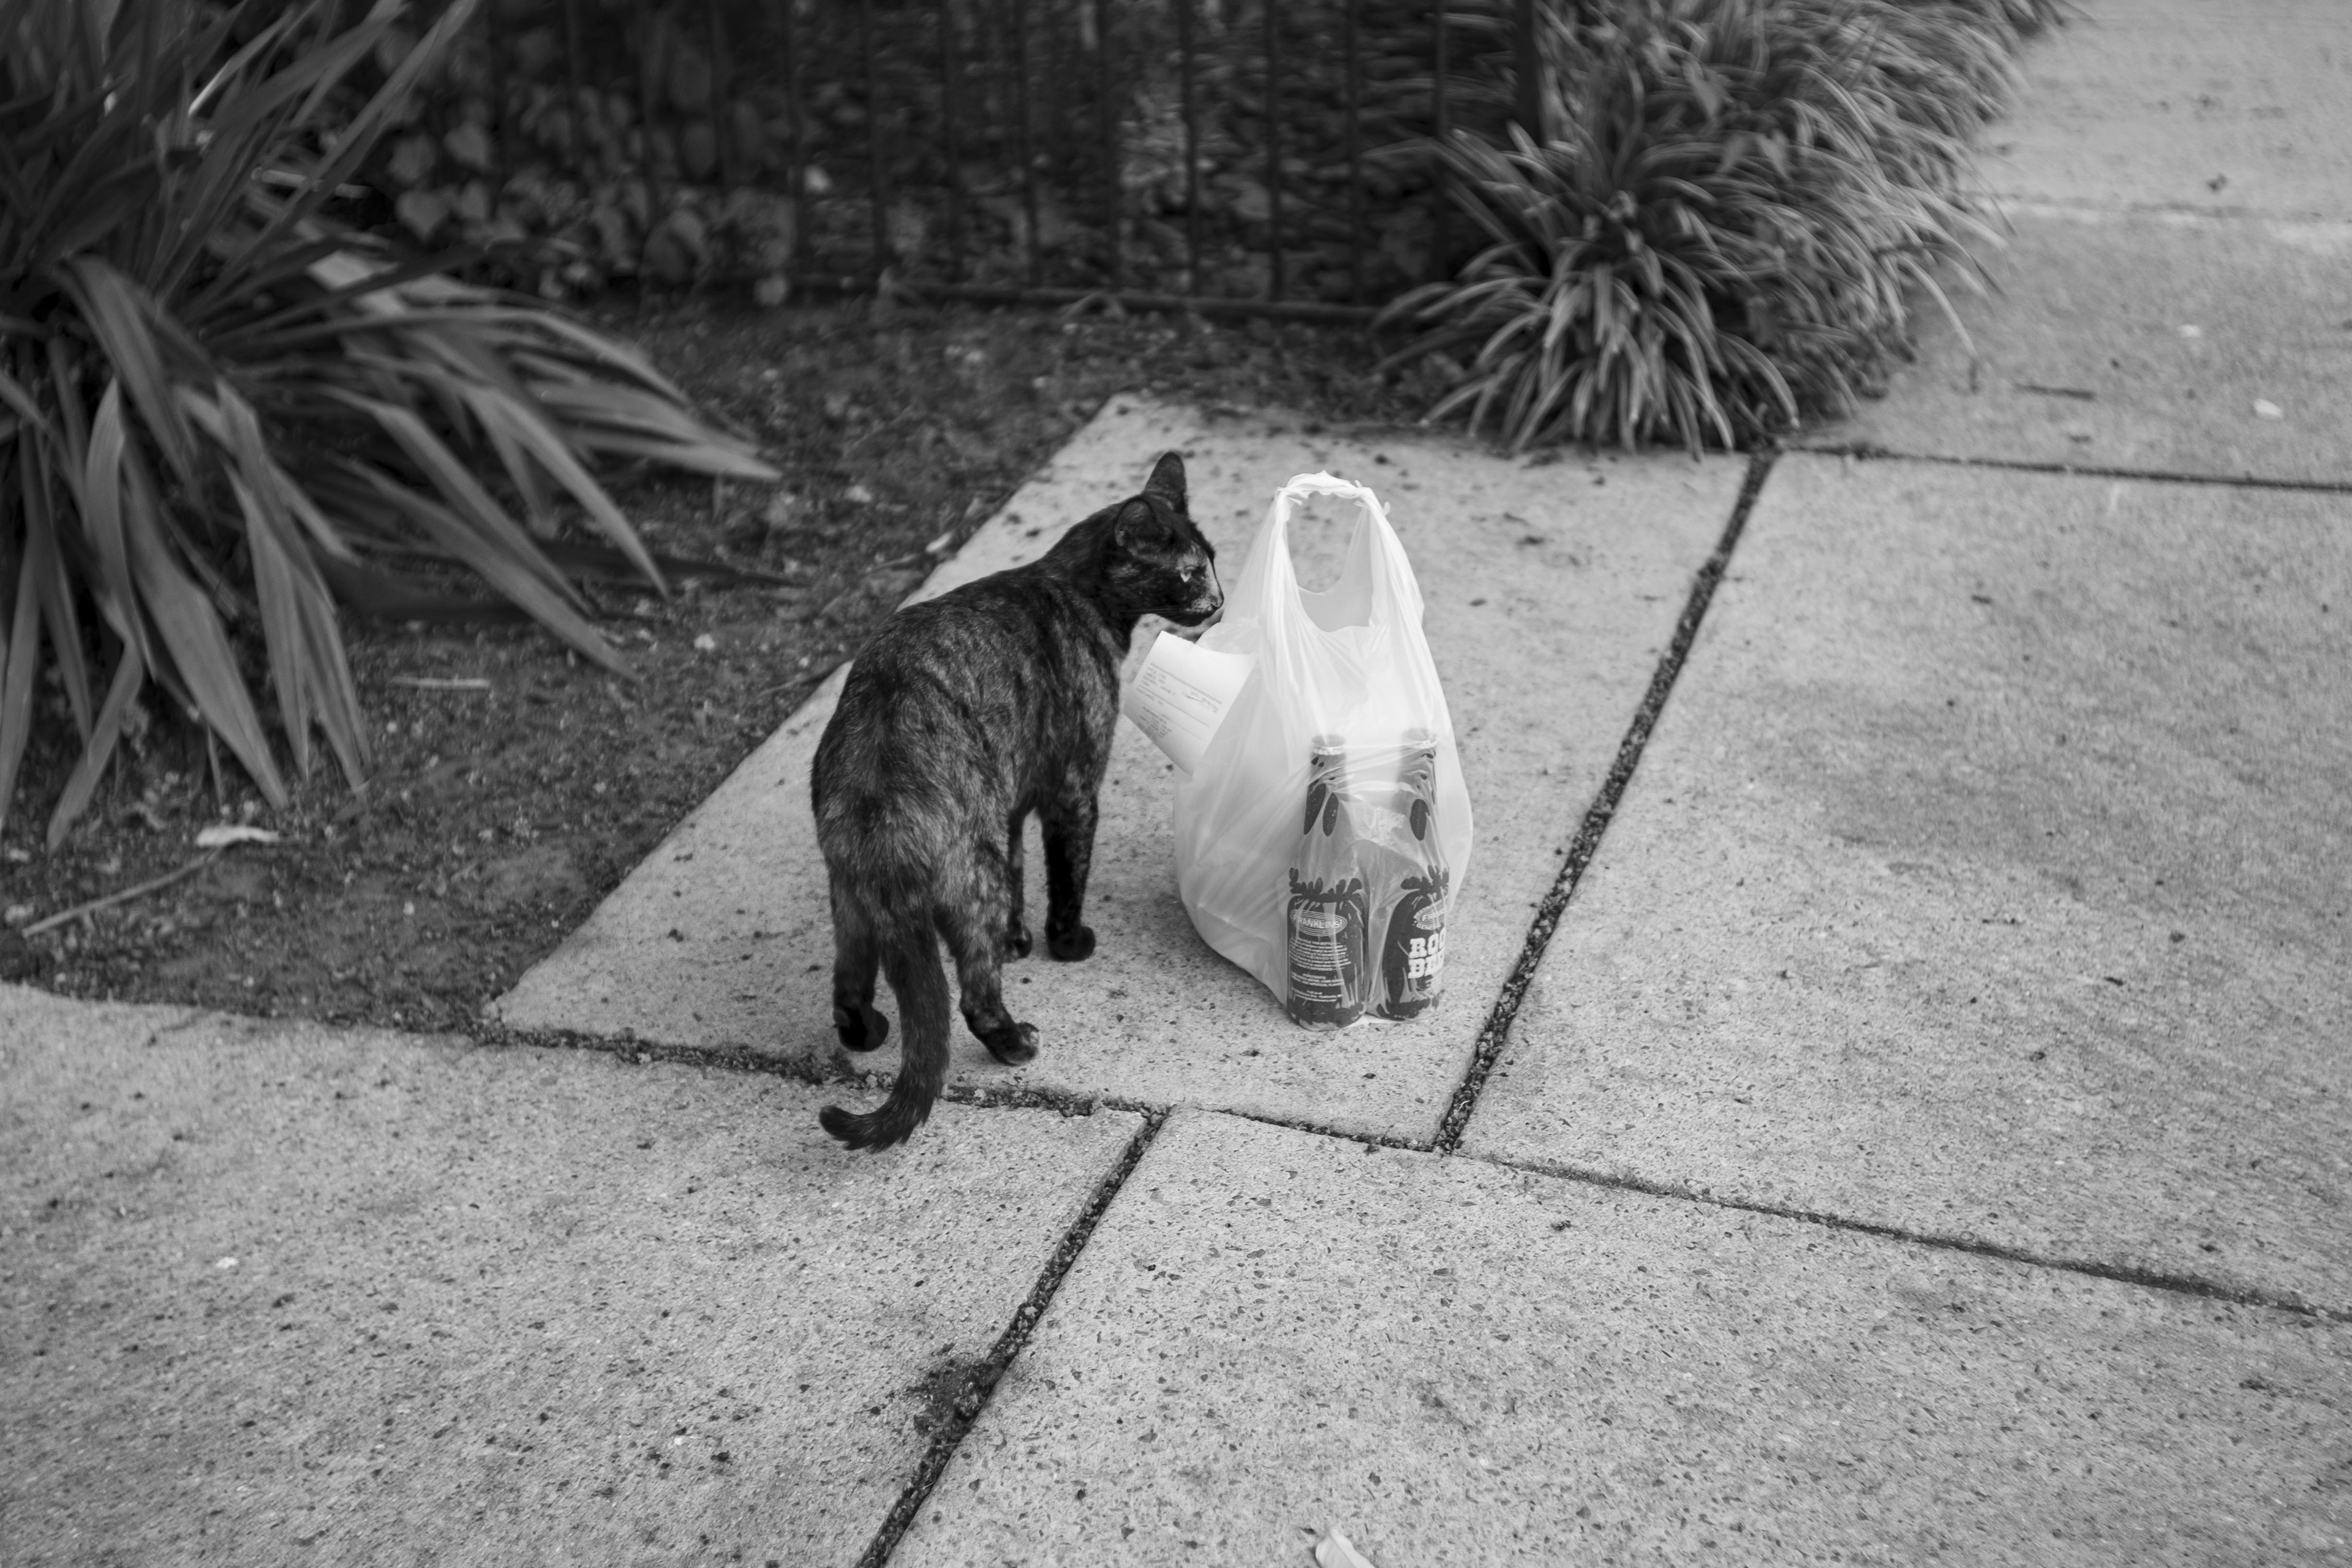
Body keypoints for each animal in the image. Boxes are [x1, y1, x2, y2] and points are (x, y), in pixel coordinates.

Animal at [810, 451, 1221, 1150]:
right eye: (1190, 570)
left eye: (1212, 561)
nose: (1219, 600)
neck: (1075, 592)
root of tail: (876, 772)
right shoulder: (1074, 789)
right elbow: (1066, 873)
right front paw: (1066, 941)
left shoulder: (1008, 804)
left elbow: (1020, 868)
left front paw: (1019, 938)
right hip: (968, 876)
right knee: (973, 993)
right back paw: (1014, 1041)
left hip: (857, 902)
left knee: (850, 983)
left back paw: (868, 1032)